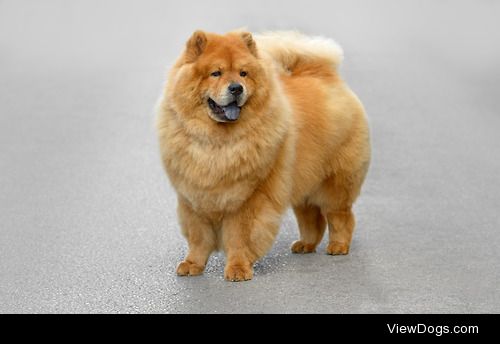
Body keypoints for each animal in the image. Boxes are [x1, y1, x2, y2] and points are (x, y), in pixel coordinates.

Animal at [157, 30, 372, 282]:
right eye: (216, 73)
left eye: (243, 73)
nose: (236, 88)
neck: (218, 143)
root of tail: (326, 75)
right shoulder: (194, 198)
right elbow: (198, 237)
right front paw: (192, 265)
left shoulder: (248, 198)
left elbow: (240, 237)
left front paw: (238, 269)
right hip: (302, 181)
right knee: (311, 217)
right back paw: (305, 245)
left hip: (335, 182)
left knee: (339, 215)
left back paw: (338, 246)